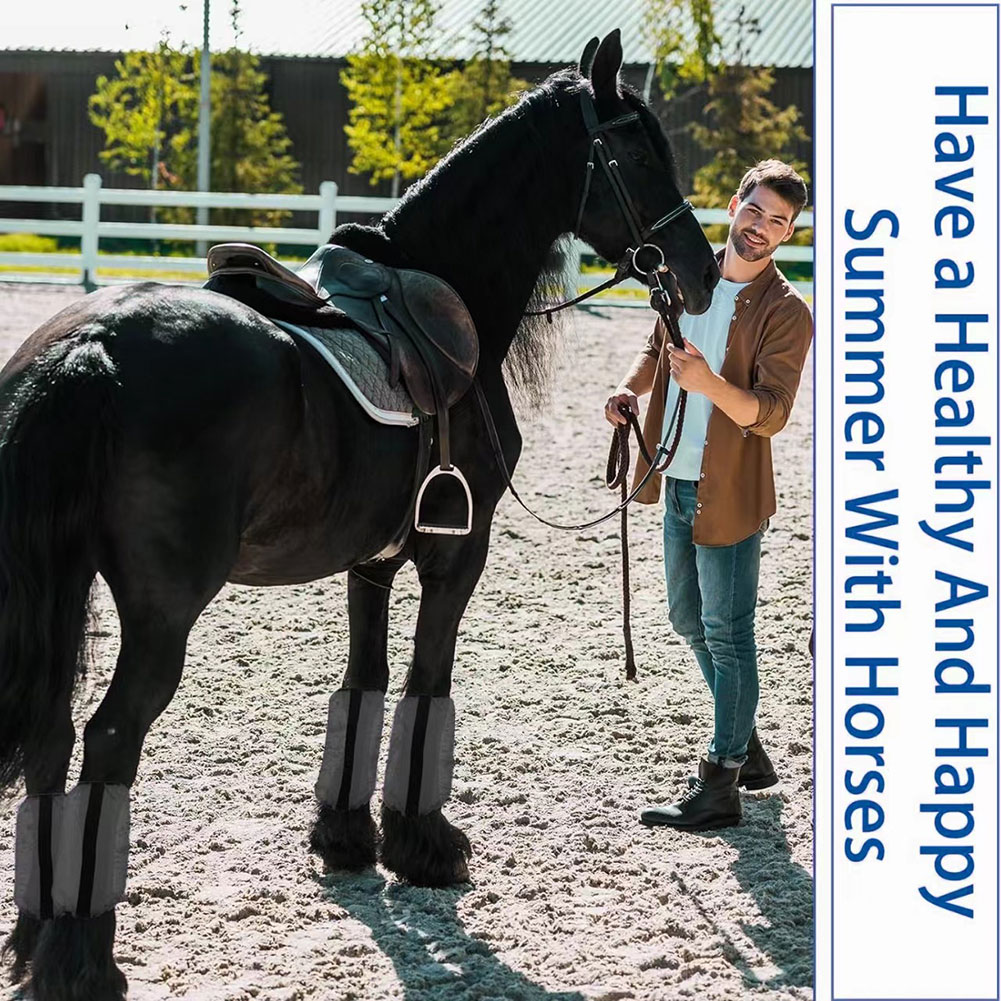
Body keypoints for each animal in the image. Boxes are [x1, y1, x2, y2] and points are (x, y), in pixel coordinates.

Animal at [0, 30, 718, 1001]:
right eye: (637, 152)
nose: (704, 271)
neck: (452, 287)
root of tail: (87, 348)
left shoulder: (370, 559)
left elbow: (366, 679)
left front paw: (347, 836)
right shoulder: (457, 551)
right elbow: (425, 682)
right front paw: (426, 843)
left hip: (58, 588)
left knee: (49, 734)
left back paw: (37, 935)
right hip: (160, 613)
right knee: (109, 739)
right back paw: (84, 958)